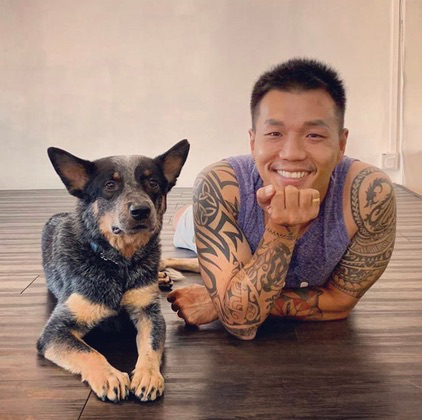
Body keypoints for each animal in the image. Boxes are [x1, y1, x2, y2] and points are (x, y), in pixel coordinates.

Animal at [36, 140, 190, 403]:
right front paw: (109, 376)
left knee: (164, 258)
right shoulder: (55, 331)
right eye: (110, 185)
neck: (119, 263)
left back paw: (163, 274)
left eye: (152, 182)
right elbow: (89, 352)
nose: (141, 210)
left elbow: (151, 346)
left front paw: (148, 375)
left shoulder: (149, 314)